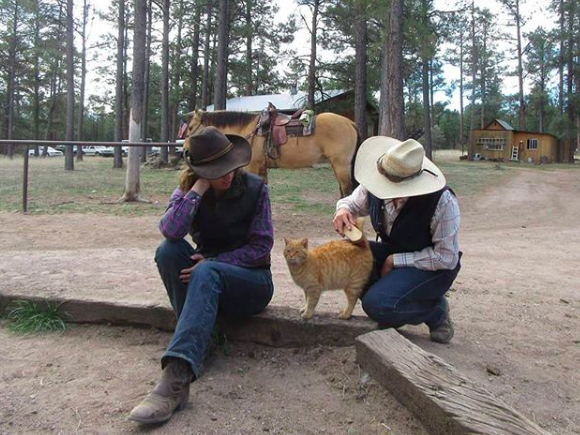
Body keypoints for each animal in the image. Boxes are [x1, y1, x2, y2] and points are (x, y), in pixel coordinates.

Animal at [184, 110, 360, 197]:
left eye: (191, 127)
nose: (185, 149)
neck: (250, 130)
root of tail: (349, 122)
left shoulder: (253, 167)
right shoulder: (262, 169)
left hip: (341, 165)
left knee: (347, 190)